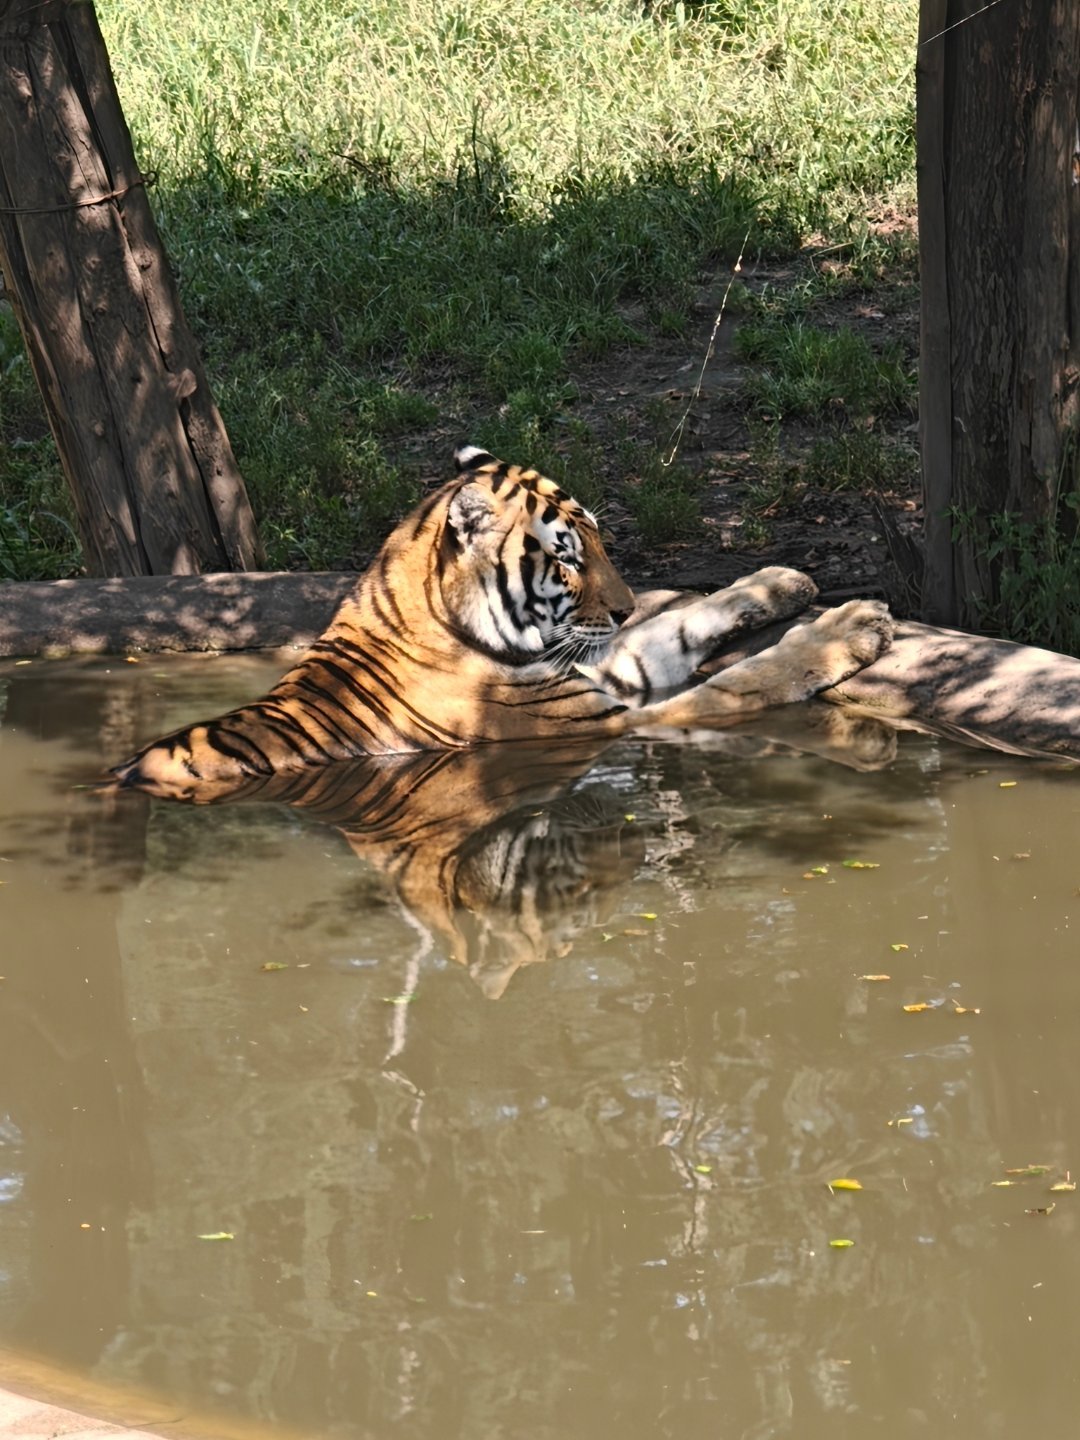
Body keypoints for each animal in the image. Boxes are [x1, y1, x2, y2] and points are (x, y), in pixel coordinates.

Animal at [112, 446, 894, 802]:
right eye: (568, 557)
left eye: (602, 540)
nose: (625, 606)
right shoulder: (604, 721)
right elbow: (745, 682)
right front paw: (855, 625)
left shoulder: (593, 669)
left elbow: (680, 626)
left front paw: (781, 580)